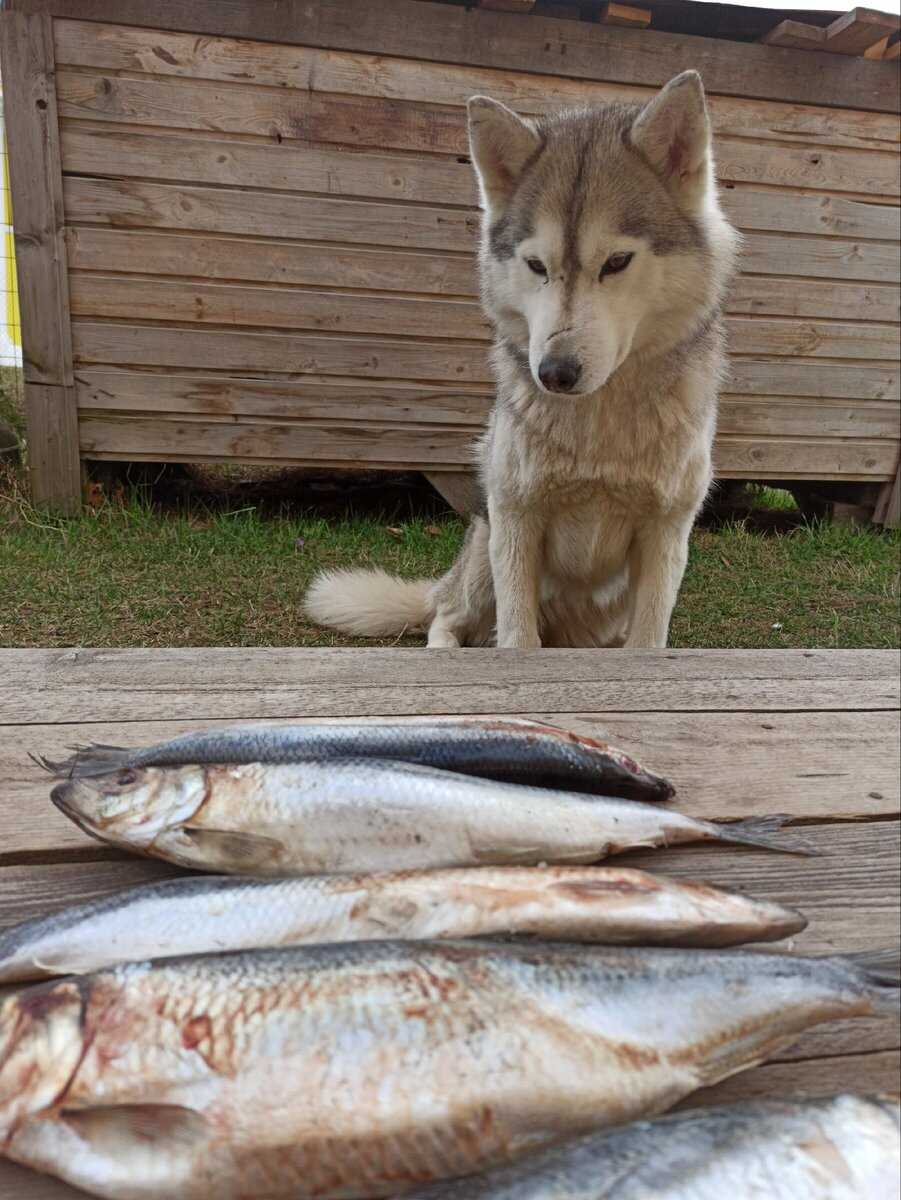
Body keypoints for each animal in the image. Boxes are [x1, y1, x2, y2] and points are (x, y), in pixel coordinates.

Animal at [307, 70, 734, 652]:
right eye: (536, 265)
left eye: (617, 262)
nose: (554, 373)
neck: (597, 432)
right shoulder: (515, 520)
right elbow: (515, 637)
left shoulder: (666, 533)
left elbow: (648, 639)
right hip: (482, 554)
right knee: (448, 618)